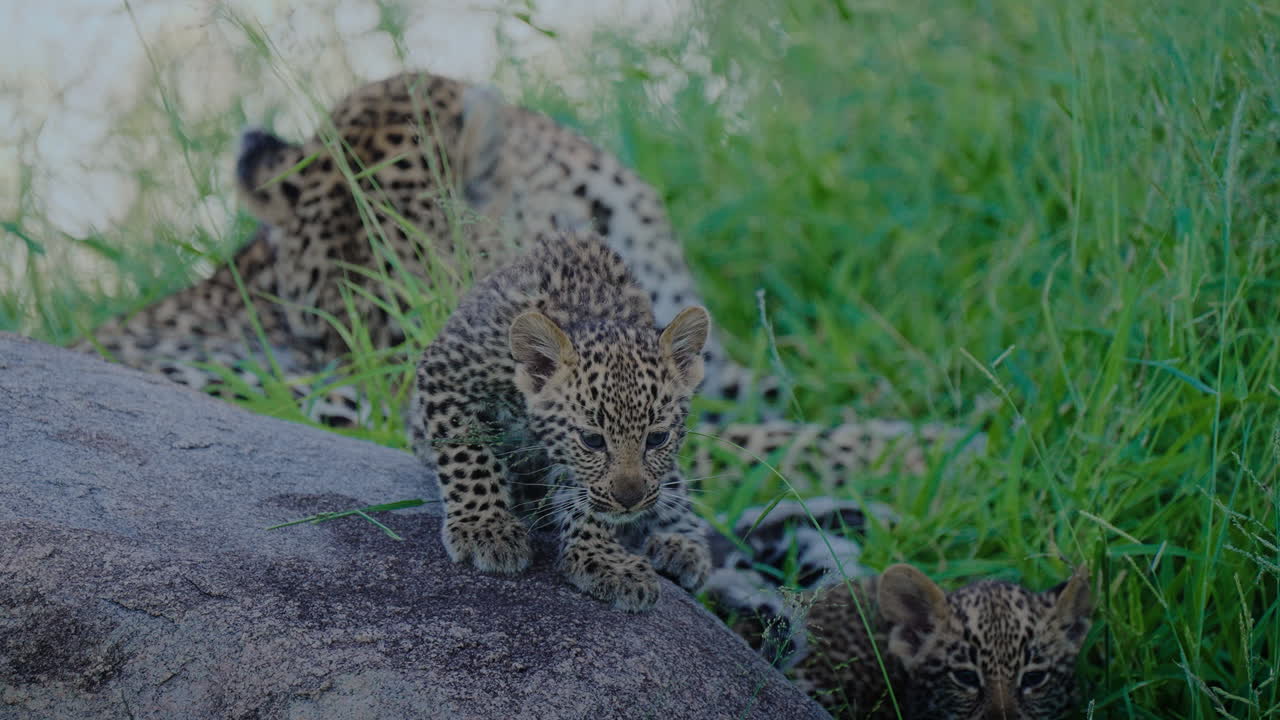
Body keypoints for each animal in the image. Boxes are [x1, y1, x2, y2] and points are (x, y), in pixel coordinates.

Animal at [72, 70, 983, 487]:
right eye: (319, 336)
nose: (410, 397)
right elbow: (762, 439)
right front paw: (930, 452)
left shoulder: (698, 359)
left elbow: (788, 388)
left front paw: (950, 388)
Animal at [409, 228, 711, 611]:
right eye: (593, 440)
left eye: (657, 438)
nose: (629, 500)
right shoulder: (447, 374)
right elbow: (468, 459)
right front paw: (485, 528)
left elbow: (588, 501)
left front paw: (602, 559)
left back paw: (681, 545)